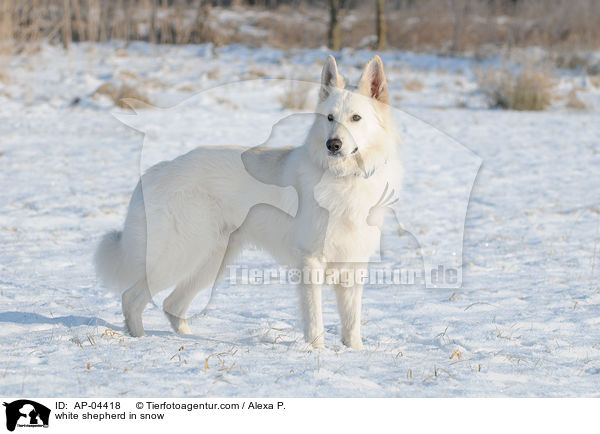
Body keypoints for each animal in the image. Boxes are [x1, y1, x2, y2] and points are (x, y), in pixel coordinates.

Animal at [94, 56, 404, 350]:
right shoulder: (311, 262)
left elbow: (351, 323)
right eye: (329, 117)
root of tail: (158, 169)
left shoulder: (353, 265)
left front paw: (356, 352)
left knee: (172, 305)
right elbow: (315, 320)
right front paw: (318, 353)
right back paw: (140, 339)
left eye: (356, 118)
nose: (333, 145)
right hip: (181, 256)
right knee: (131, 298)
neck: (344, 178)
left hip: (210, 262)